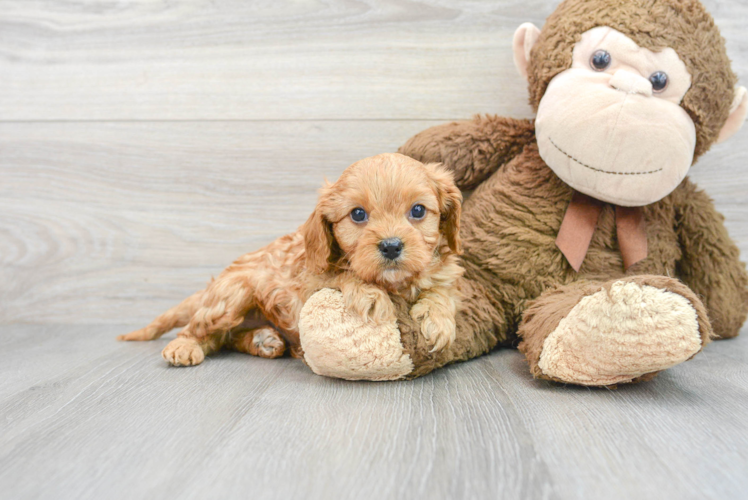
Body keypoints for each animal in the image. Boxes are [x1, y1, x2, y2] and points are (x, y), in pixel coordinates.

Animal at [118, 150, 462, 366]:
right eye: (358, 214)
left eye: (417, 210)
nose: (391, 246)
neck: (395, 284)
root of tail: (208, 290)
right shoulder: (304, 283)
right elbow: (340, 273)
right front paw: (369, 292)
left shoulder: (442, 272)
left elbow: (440, 288)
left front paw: (437, 319)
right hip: (232, 294)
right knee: (200, 330)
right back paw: (185, 346)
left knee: (226, 339)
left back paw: (263, 340)